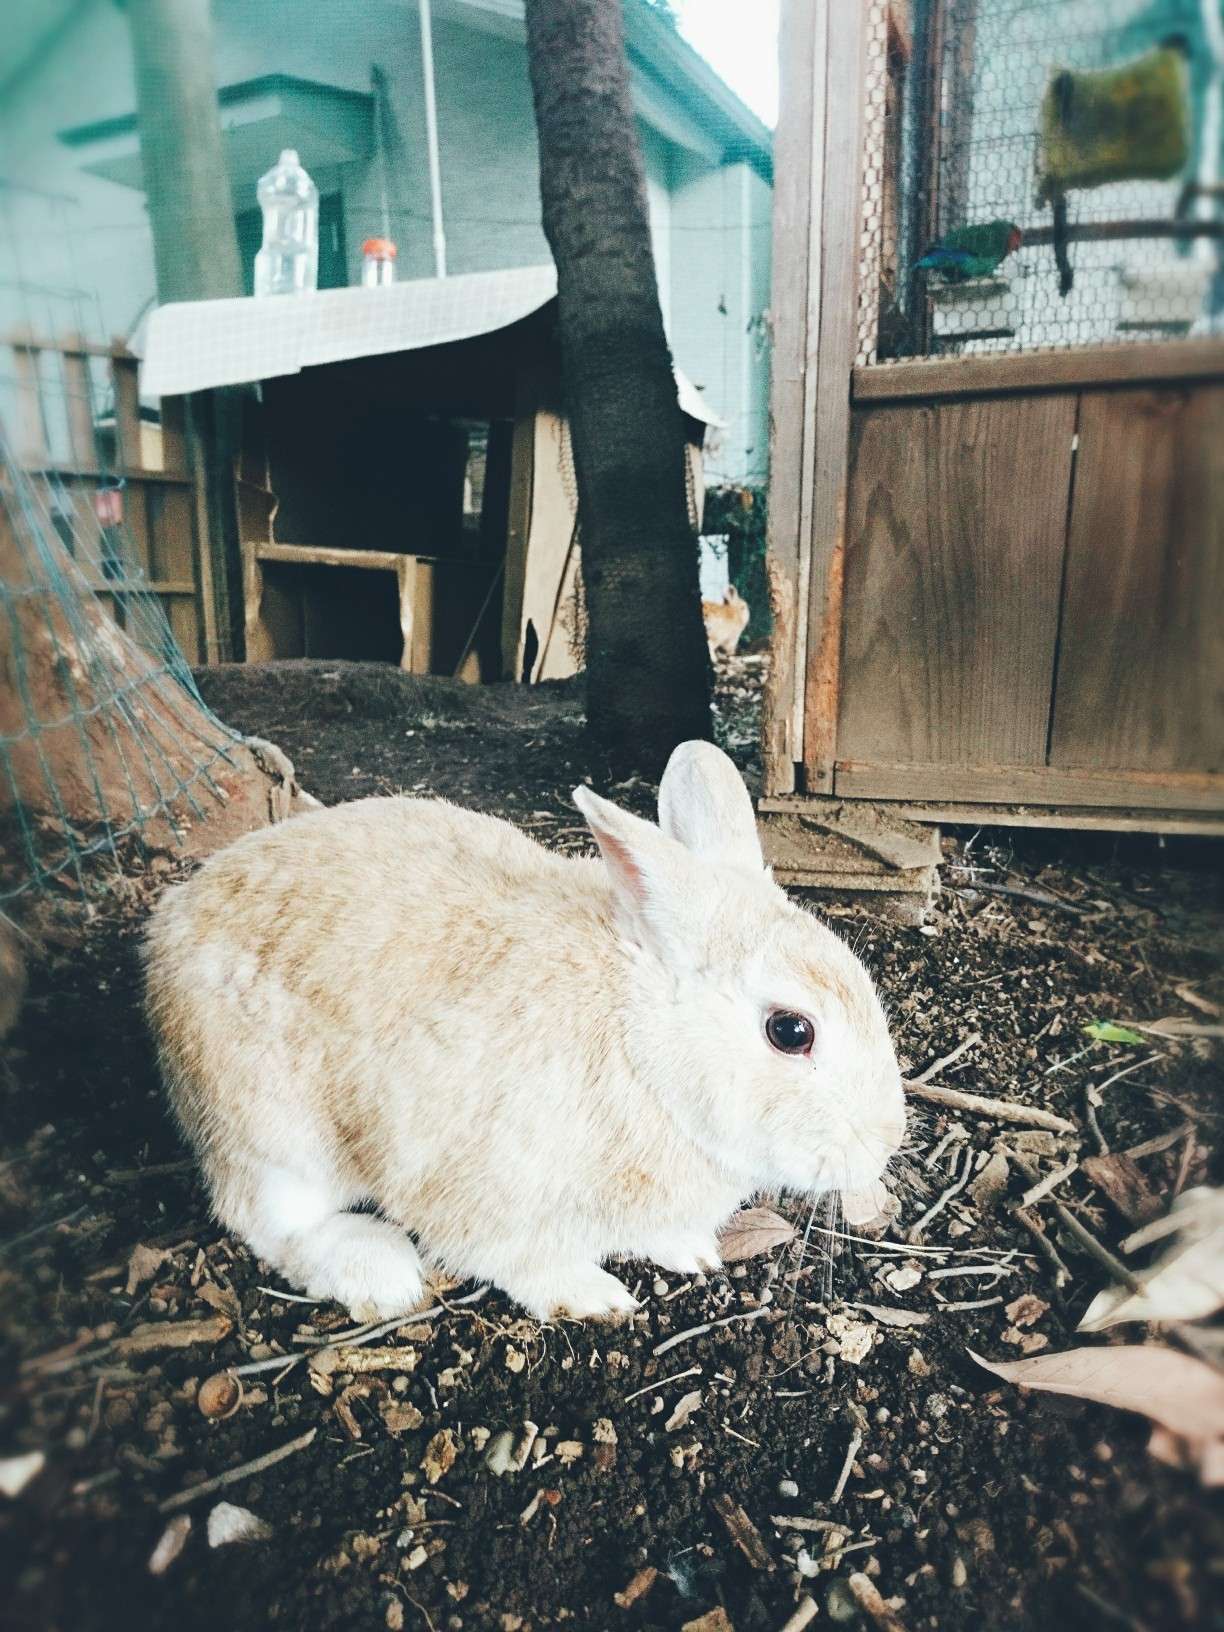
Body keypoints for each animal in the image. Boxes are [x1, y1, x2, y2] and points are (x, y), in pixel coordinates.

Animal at [146, 747, 913, 1318]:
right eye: (791, 1031)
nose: (883, 1143)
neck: (645, 1053)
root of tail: (168, 926)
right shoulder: (472, 1189)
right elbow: (515, 1260)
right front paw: (596, 1297)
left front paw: (691, 1251)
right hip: (274, 1132)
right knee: (266, 1219)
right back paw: (379, 1271)